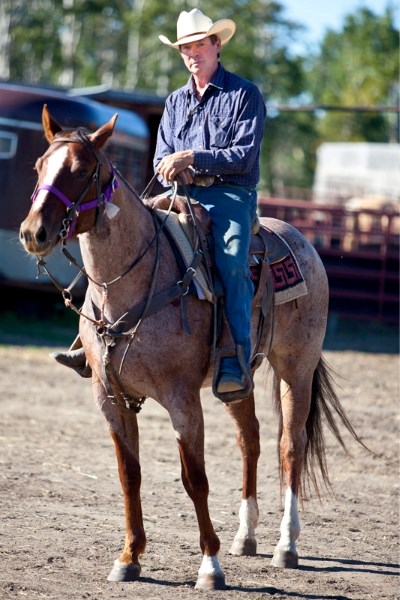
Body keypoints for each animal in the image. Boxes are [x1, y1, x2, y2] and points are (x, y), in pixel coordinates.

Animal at [19, 106, 362, 592]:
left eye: (82, 170)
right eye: (38, 167)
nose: (35, 232)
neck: (136, 279)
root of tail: (302, 243)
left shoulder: (182, 398)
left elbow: (194, 479)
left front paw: (210, 567)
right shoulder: (110, 398)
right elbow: (129, 475)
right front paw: (129, 558)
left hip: (296, 368)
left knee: (289, 446)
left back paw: (286, 545)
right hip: (236, 378)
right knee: (250, 440)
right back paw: (245, 537)